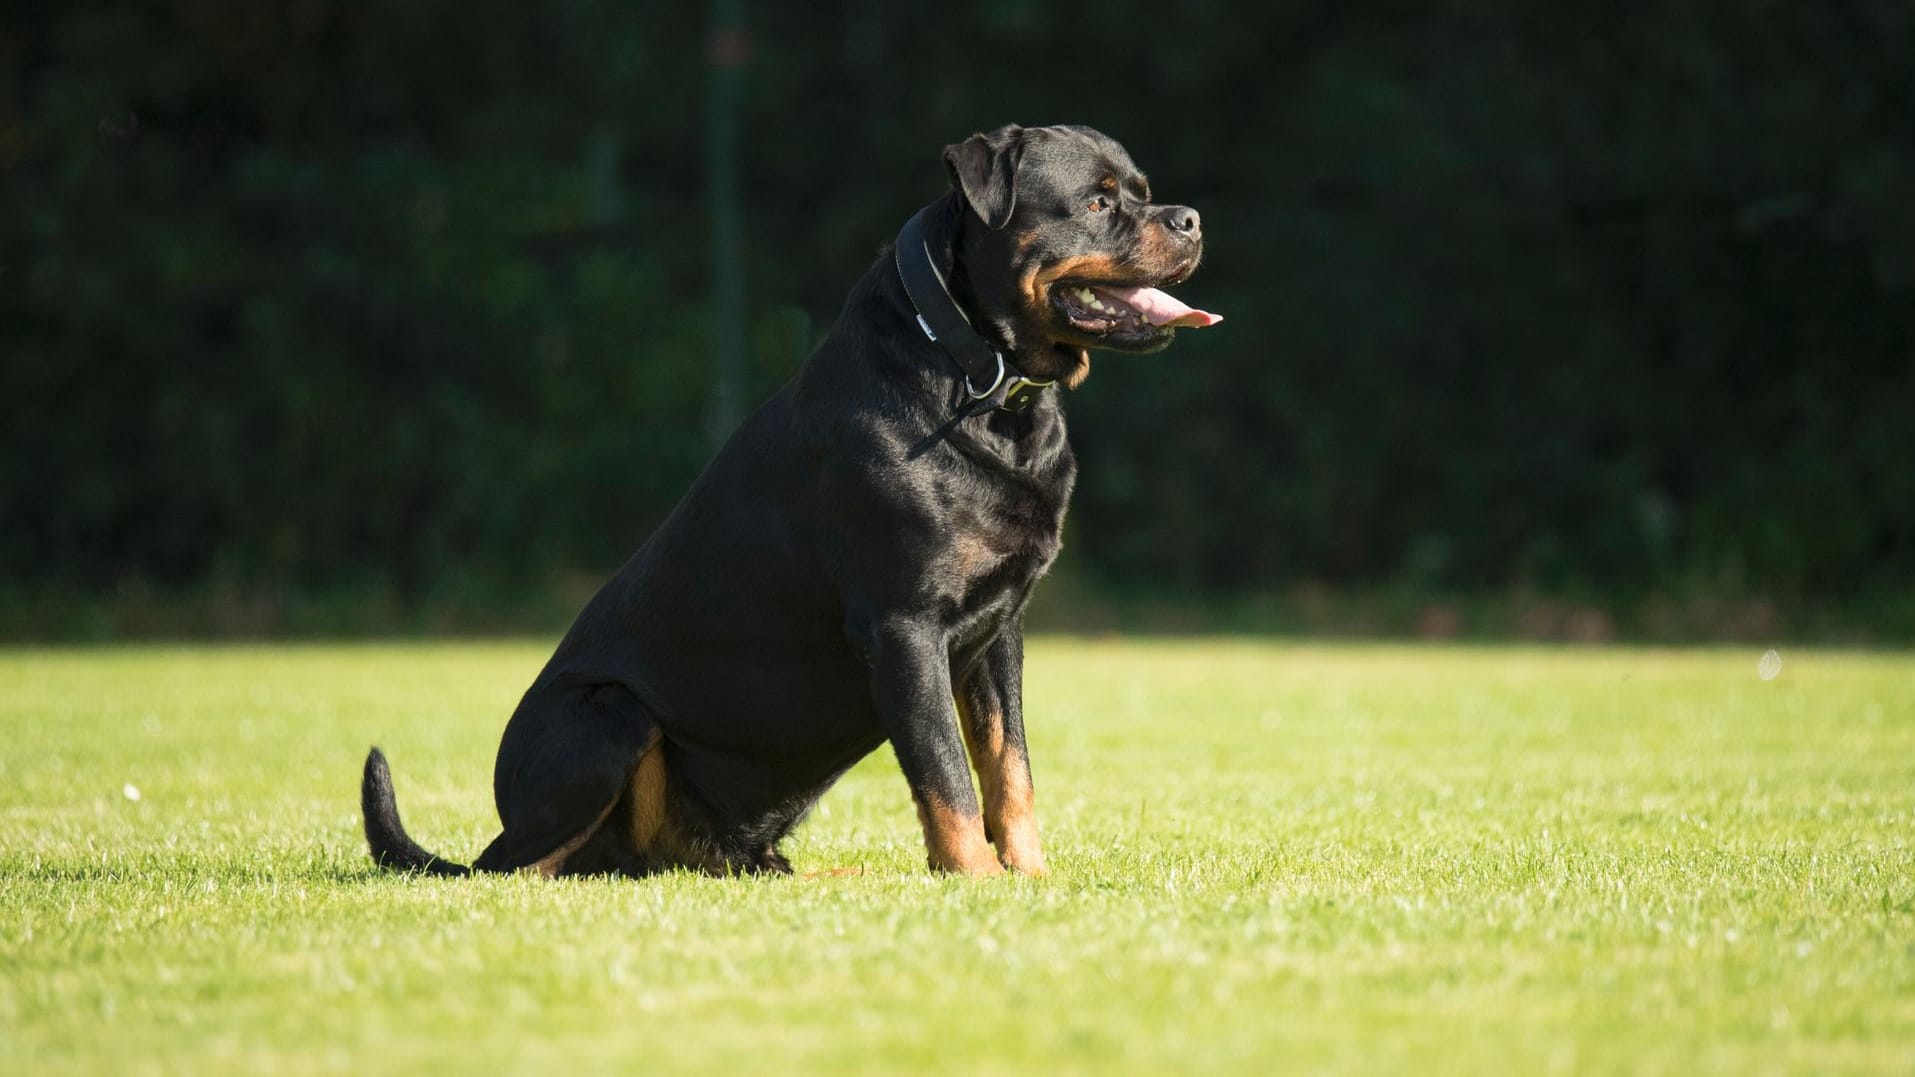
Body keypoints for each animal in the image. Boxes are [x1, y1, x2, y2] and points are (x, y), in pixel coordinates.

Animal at [363, 123, 1217, 873]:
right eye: (1097, 202)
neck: (979, 380)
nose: (1189, 218)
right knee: (521, 864)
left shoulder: (999, 629)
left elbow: (1010, 769)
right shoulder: (902, 625)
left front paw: (1029, 875)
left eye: (1141, 193)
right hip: (607, 713)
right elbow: (945, 772)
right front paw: (975, 877)